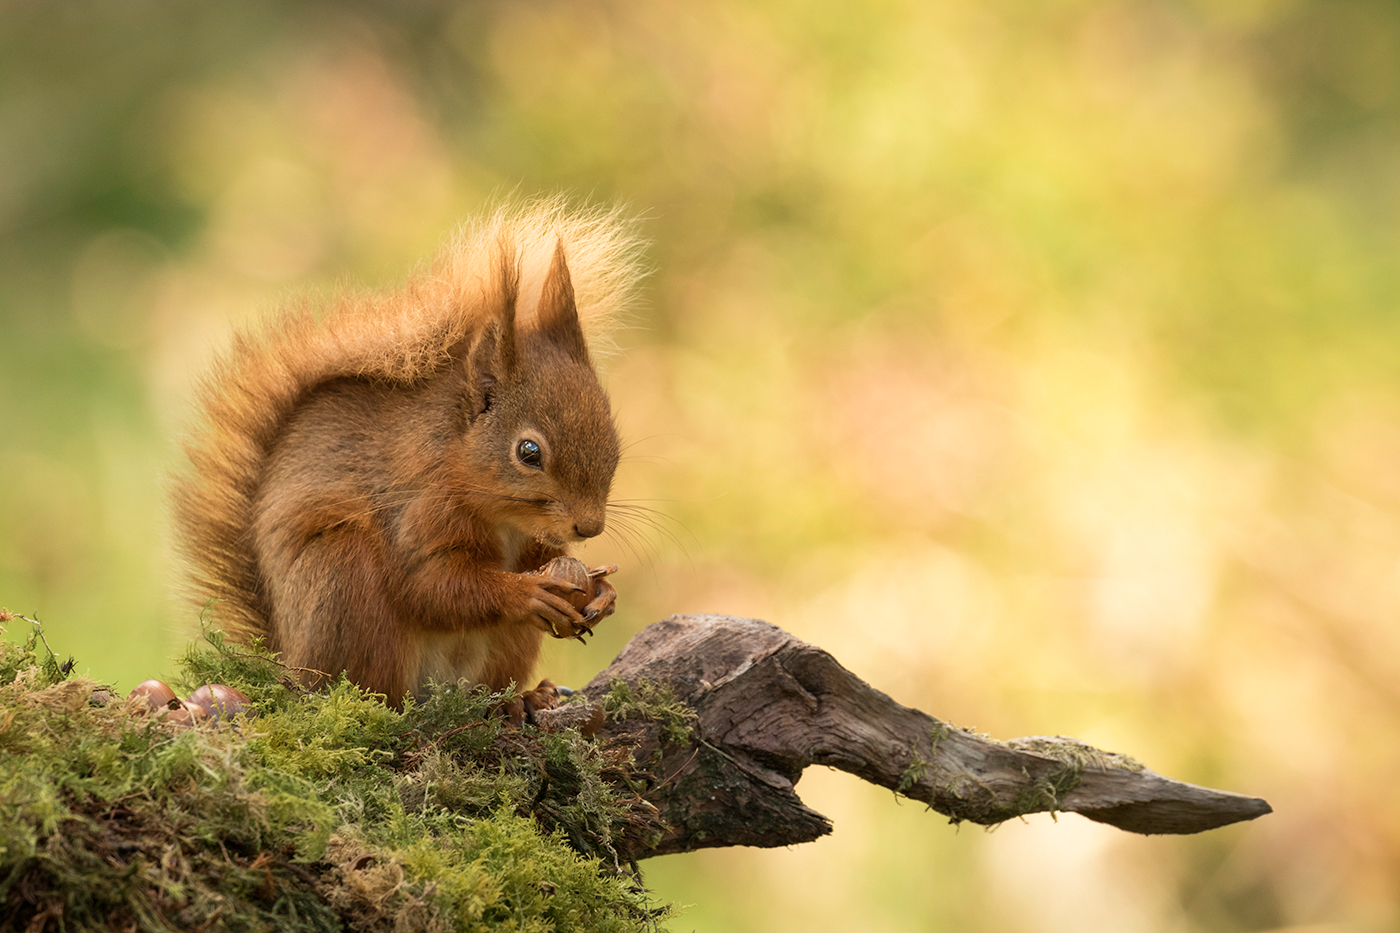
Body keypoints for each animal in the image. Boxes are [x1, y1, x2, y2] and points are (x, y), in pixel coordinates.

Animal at [172, 201, 641, 706]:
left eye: (610, 430)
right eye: (529, 452)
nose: (589, 527)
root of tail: (291, 665)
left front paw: (603, 591)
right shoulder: (417, 507)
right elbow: (426, 586)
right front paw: (525, 594)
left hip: (506, 647)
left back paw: (524, 700)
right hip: (343, 580)